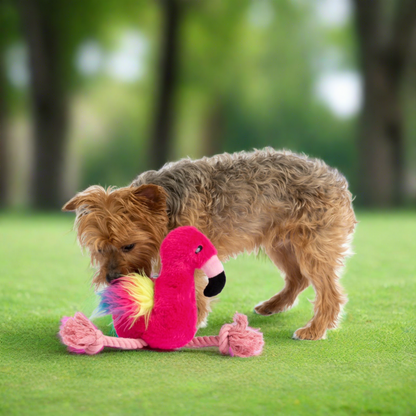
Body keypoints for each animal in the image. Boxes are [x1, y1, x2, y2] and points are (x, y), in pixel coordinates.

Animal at [63, 148, 356, 340]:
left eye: (128, 246)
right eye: (100, 249)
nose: (111, 278)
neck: (168, 204)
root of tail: (337, 180)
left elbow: (194, 292)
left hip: (311, 246)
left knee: (329, 293)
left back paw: (315, 329)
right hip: (280, 243)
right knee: (298, 278)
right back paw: (273, 306)